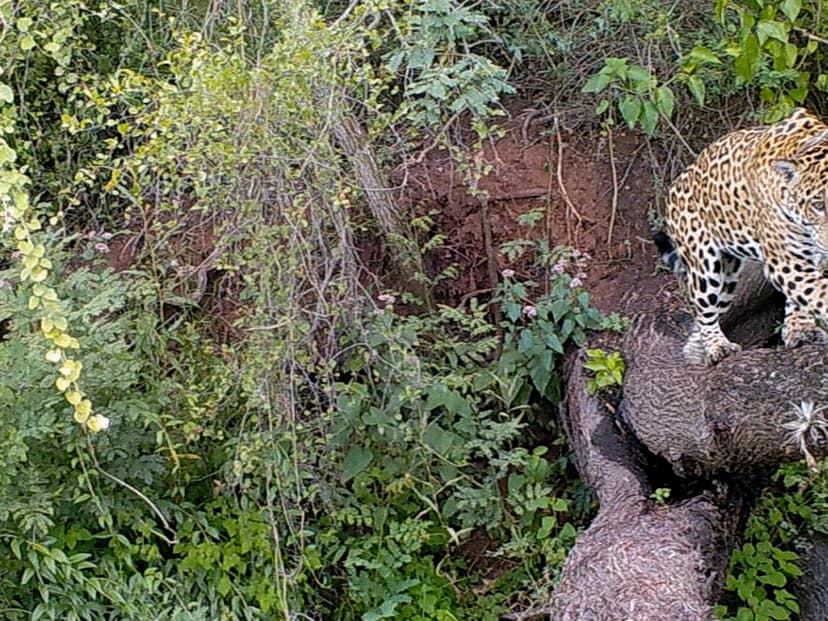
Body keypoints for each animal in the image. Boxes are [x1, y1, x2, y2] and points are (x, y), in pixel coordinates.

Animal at [665, 107, 828, 365]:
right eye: (818, 205)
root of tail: (678, 180)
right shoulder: (786, 259)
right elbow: (817, 292)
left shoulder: (809, 258)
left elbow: (804, 294)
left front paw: (800, 329)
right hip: (705, 265)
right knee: (702, 308)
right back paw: (716, 347)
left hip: (729, 276)